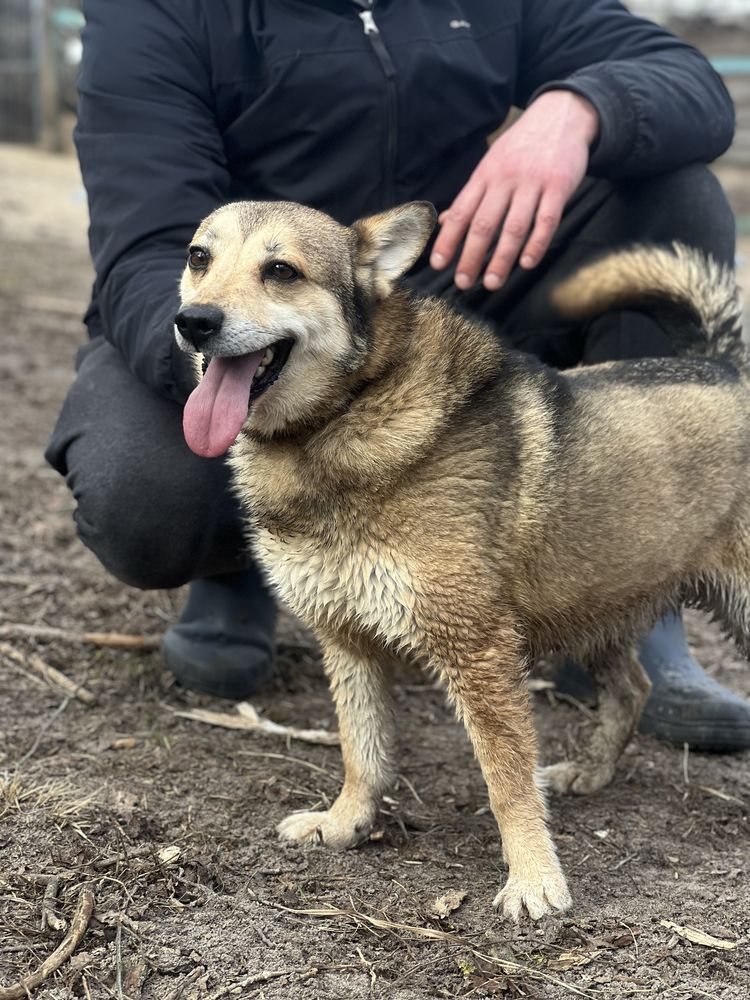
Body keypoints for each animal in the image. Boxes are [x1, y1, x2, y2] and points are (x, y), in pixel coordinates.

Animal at [175, 197, 750, 920]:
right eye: (199, 257)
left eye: (281, 271)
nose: (194, 321)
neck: (350, 412)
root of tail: (725, 367)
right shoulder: (347, 640)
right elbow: (362, 751)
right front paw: (345, 823)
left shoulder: (478, 651)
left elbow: (506, 778)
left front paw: (534, 877)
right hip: (596, 602)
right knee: (632, 689)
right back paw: (591, 771)